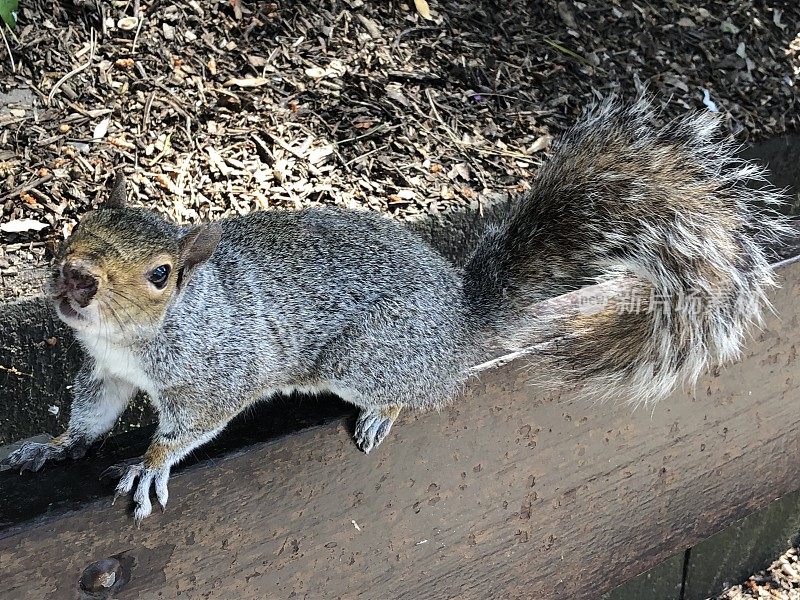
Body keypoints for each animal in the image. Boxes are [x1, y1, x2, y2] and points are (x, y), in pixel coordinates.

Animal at [1, 98, 788, 520]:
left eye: (161, 274)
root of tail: (460, 324)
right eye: (77, 225)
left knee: (418, 394)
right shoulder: (105, 371)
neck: (138, 336)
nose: (74, 278)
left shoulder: (217, 373)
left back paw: (385, 412)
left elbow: (194, 424)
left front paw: (152, 462)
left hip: (366, 358)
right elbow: (89, 416)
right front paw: (53, 446)